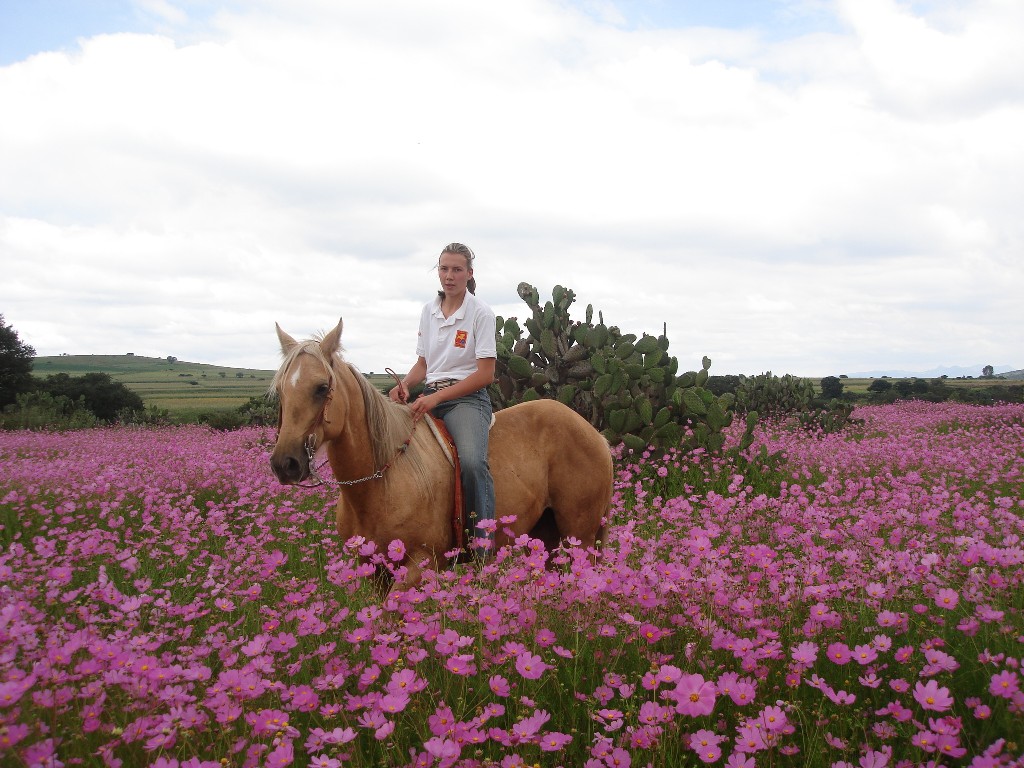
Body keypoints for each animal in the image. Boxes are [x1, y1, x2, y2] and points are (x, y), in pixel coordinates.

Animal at [268, 319, 610, 589]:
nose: (285, 464)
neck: (381, 482)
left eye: (322, 388)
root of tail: (596, 435)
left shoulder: (421, 564)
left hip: (581, 536)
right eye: (281, 391)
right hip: (548, 537)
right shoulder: (374, 570)